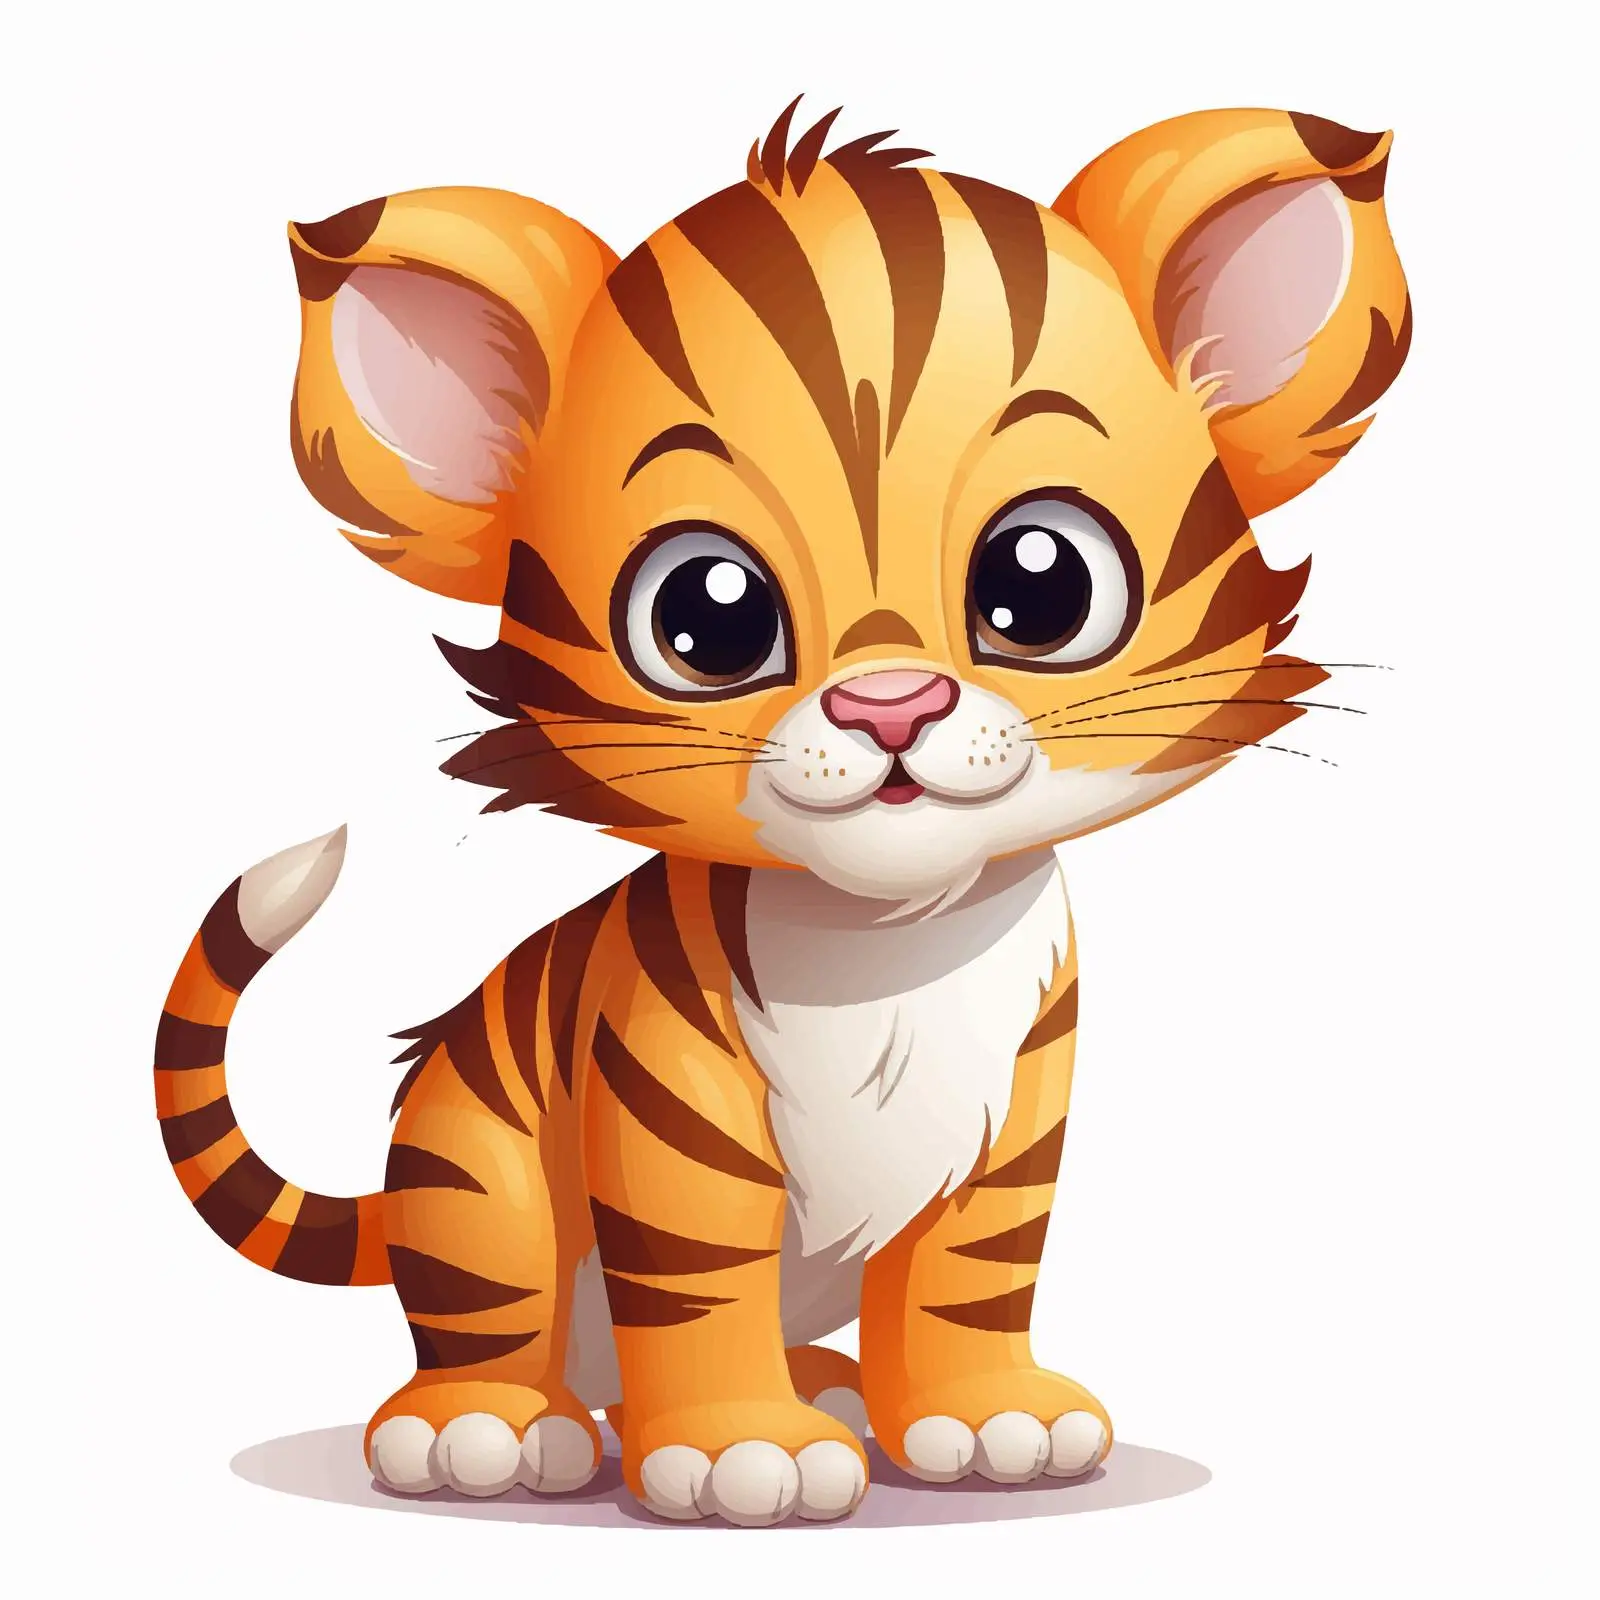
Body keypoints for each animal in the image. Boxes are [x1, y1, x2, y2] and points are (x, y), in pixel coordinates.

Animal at [153, 100, 1410, 1525]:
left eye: (1040, 583)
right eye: (708, 616)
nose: (890, 704)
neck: (891, 944)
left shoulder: (1015, 1124)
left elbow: (973, 1274)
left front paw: (988, 1419)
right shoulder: (667, 1126)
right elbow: (696, 1285)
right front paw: (730, 1450)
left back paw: (827, 1385)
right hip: (476, 1172)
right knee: (493, 1319)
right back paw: (486, 1427)